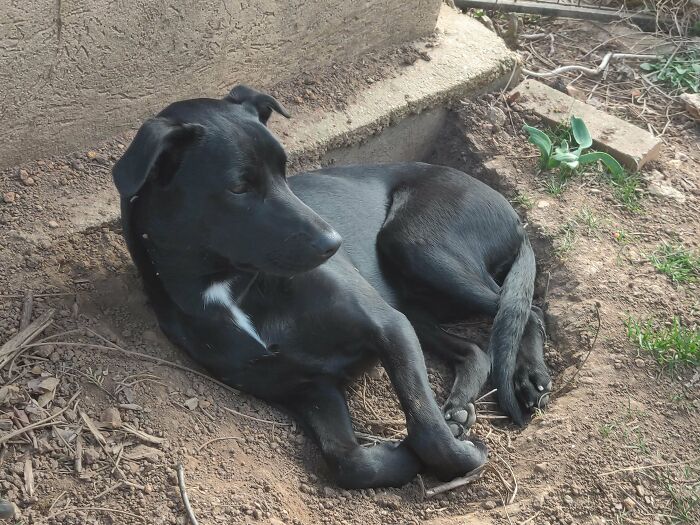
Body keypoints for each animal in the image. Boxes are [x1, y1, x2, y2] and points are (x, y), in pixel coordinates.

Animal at [113, 85, 552, 488]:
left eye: (284, 172)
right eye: (238, 187)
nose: (334, 243)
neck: (229, 288)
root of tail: (515, 215)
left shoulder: (388, 326)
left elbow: (426, 425)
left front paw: (459, 454)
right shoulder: (309, 389)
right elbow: (347, 461)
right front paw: (403, 456)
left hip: (414, 245)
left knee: (524, 311)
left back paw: (530, 379)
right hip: (412, 303)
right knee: (475, 349)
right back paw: (460, 407)